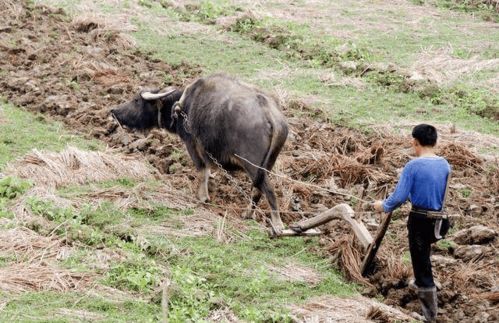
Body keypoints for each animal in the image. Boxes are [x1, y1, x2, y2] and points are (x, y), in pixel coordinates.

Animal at [109, 73, 290, 235]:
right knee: (257, 190)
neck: (182, 106)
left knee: (268, 190)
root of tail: (271, 115)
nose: (114, 111)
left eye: (136, 100)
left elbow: (202, 170)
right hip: (267, 166)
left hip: (252, 166)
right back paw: (248, 214)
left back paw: (277, 225)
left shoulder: (192, 144)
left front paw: (202, 197)